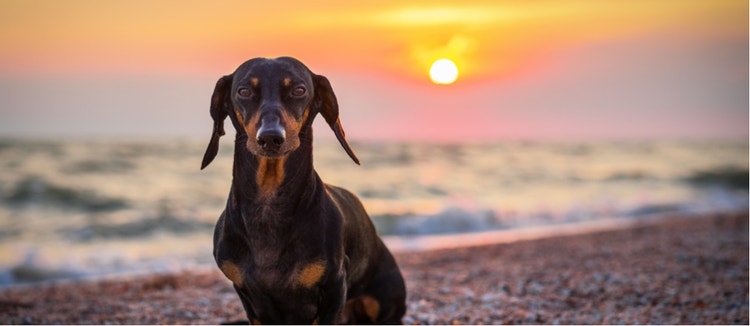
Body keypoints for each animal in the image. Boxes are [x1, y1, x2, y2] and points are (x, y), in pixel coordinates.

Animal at [201, 56, 406, 324]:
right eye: (243, 91)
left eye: (299, 90)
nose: (270, 138)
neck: (269, 205)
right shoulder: (248, 298)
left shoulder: (334, 287)